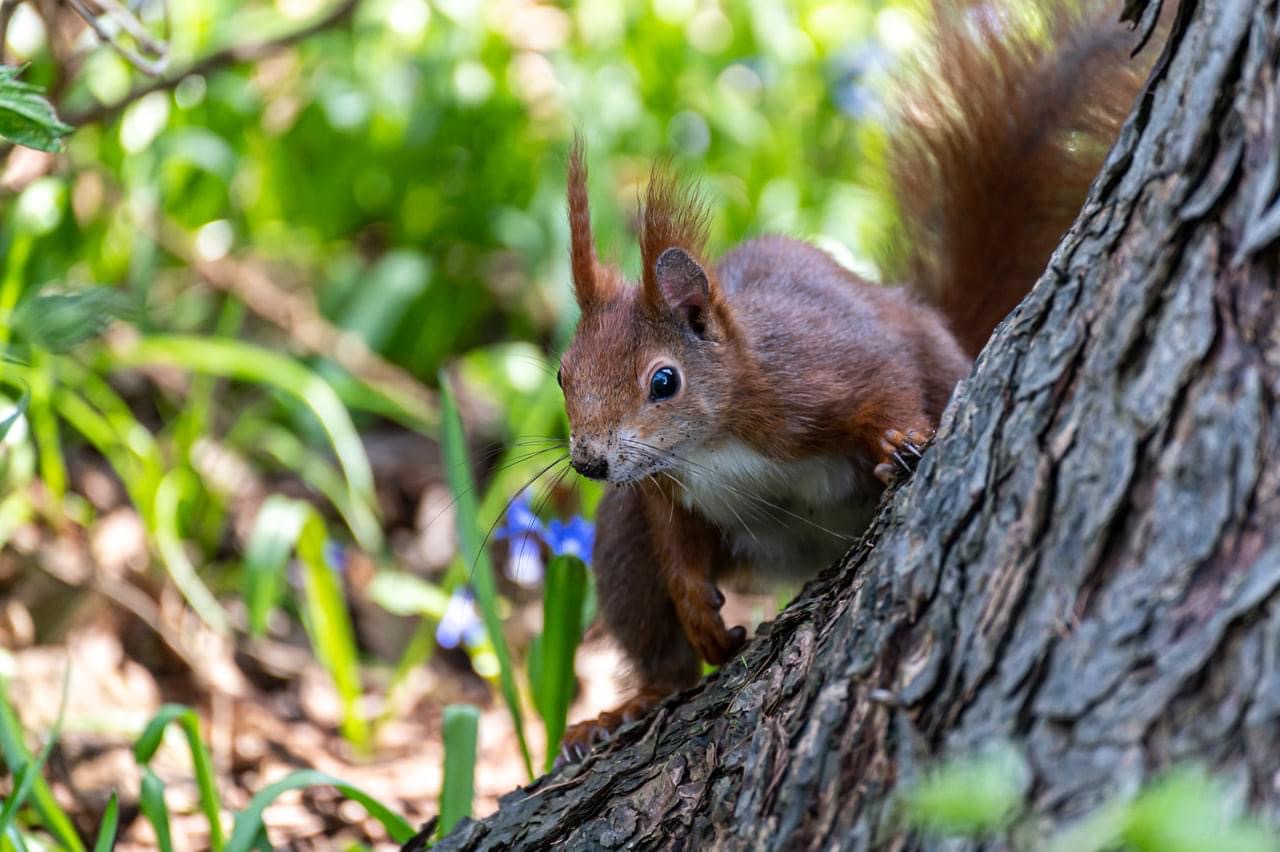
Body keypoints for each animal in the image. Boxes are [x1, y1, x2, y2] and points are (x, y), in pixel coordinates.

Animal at [555, 0, 1157, 762]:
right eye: (562, 374)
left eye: (664, 382)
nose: (589, 462)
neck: (713, 444)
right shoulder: (664, 488)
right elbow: (676, 548)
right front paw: (697, 610)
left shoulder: (820, 369)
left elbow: (884, 383)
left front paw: (900, 440)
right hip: (621, 538)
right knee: (649, 620)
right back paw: (627, 707)